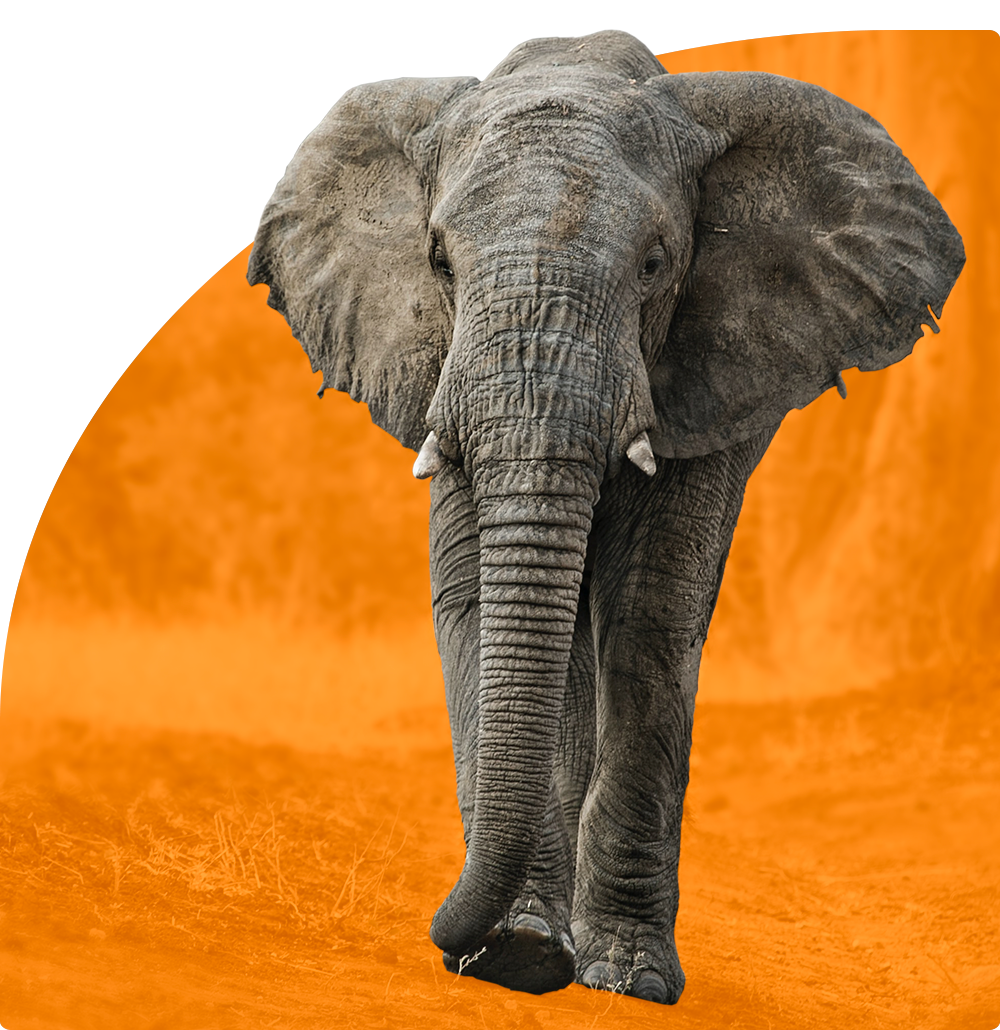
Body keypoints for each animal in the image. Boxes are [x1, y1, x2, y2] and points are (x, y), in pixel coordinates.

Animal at [247, 32, 964, 1004]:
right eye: (439, 263)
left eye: (656, 264)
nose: (446, 941)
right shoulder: (438, 370)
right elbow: (482, 600)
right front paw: (517, 952)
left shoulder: (710, 373)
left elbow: (651, 613)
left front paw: (623, 977)